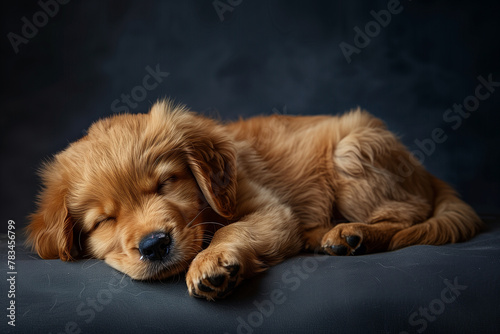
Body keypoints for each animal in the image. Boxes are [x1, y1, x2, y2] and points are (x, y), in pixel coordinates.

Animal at [26, 100, 480, 300]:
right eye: (104, 221)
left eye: (166, 183)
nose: (155, 245)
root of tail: (424, 171)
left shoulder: (266, 207)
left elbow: (230, 229)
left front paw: (210, 263)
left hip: (352, 150)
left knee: (407, 216)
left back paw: (353, 234)